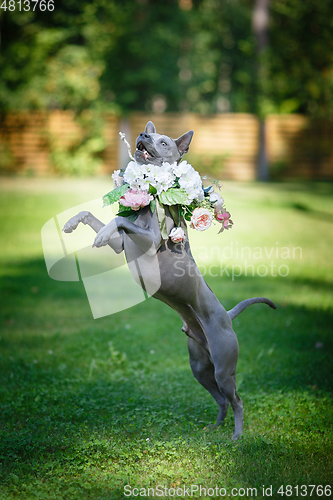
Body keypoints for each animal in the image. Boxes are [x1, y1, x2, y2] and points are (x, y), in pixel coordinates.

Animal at [62, 122, 274, 442]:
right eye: (148, 132)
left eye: (163, 142)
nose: (142, 135)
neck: (150, 201)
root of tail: (227, 316)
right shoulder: (122, 246)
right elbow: (93, 215)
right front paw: (72, 223)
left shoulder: (148, 241)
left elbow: (117, 221)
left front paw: (99, 234)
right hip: (200, 367)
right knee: (222, 399)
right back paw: (215, 427)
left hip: (224, 367)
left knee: (237, 400)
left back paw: (236, 437)